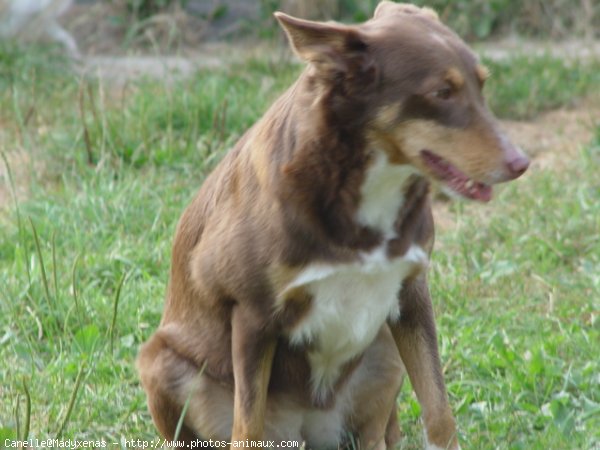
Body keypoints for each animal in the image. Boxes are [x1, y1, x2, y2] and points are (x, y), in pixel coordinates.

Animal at [137, 1, 528, 448]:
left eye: (482, 85)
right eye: (441, 93)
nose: (521, 163)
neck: (361, 179)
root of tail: (302, 429)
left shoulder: (412, 293)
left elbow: (439, 409)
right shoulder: (252, 316)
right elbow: (246, 425)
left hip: (383, 350)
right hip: (161, 361)